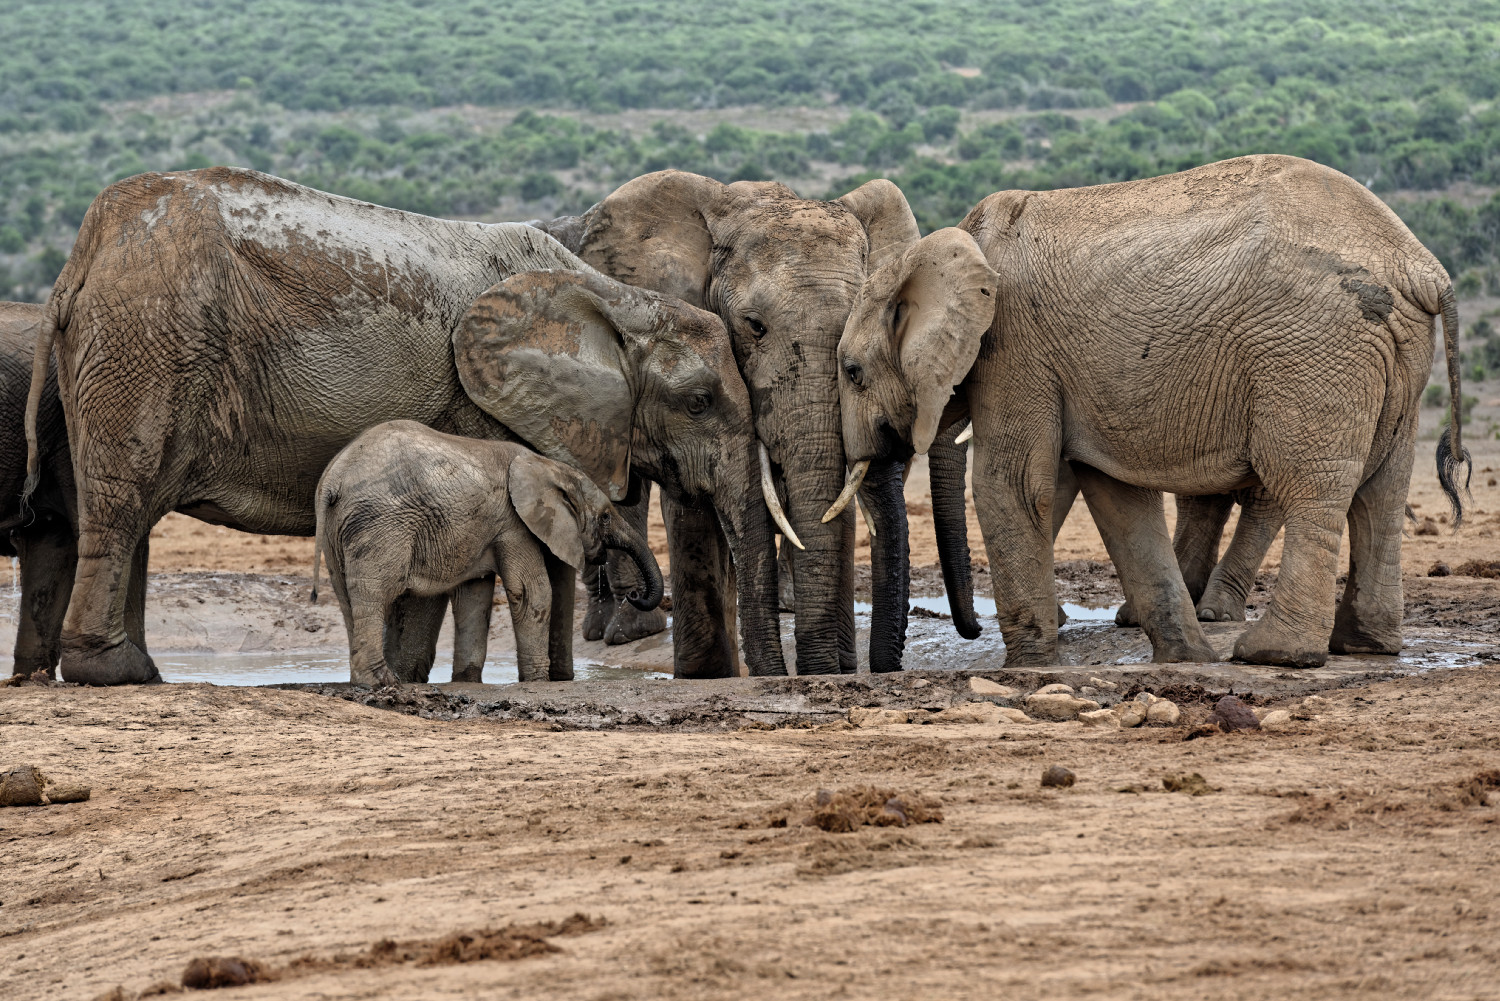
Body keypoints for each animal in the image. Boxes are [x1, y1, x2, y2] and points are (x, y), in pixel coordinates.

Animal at [313, 420, 660, 684]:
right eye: (605, 517)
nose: (635, 596)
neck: (546, 466)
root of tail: (332, 481)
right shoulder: (514, 523)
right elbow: (531, 592)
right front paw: (537, 681)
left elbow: (474, 597)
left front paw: (466, 681)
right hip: (382, 524)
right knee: (374, 593)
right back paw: (381, 683)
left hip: (336, 528)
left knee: (347, 596)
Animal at [834, 156, 1464, 669]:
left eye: (852, 372)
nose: (968, 631)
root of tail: (1422, 266)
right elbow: (1114, 493)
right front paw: (1187, 659)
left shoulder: (1016, 349)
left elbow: (1011, 484)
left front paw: (1029, 666)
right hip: (1394, 352)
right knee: (1382, 488)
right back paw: (1365, 646)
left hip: (1310, 346)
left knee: (1309, 485)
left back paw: (1275, 654)